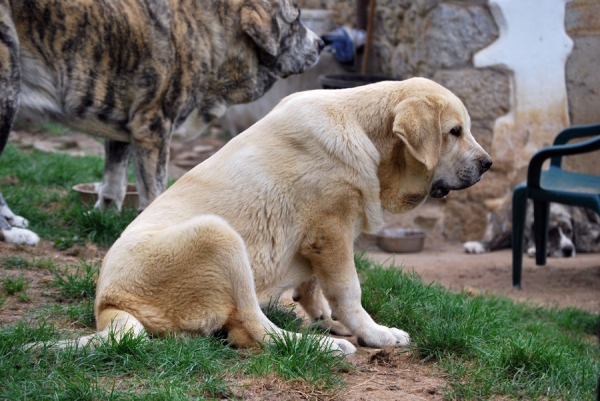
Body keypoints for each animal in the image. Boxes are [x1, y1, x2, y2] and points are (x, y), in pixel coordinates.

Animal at [0, 0, 324, 245]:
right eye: (295, 20)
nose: (322, 43)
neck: (213, 30)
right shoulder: (153, 128)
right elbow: (154, 192)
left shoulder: (125, 130)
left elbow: (113, 183)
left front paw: (105, 216)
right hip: (8, 92)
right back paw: (13, 234)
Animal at [464, 195, 600, 256]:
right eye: (551, 233)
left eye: (569, 231)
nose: (568, 250)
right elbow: (499, 237)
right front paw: (478, 245)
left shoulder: (590, 233)